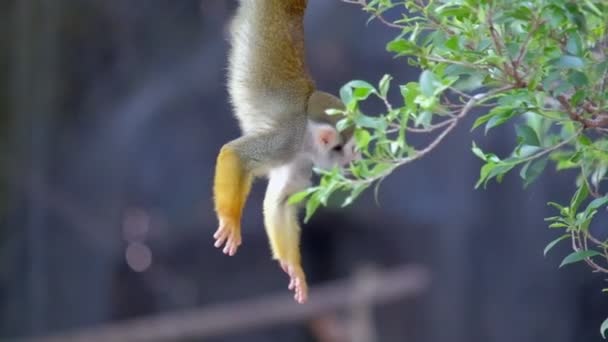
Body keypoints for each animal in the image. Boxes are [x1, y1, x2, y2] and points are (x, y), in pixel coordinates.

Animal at [213, 0, 358, 304]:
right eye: (346, 151)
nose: (353, 162)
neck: (306, 138)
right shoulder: (287, 139)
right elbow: (235, 154)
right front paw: (230, 220)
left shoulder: (301, 159)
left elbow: (279, 202)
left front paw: (295, 269)